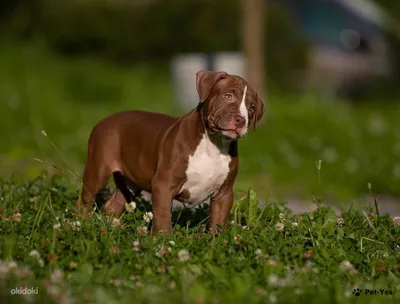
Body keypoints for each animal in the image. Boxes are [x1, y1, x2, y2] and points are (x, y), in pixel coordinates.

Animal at [75, 70, 264, 233]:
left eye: (252, 108)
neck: (214, 144)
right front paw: (162, 239)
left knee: (114, 203)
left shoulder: (224, 193)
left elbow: (218, 221)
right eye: (228, 96)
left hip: (130, 180)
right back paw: (80, 225)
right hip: (97, 169)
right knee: (84, 200)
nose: (241, 120)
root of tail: (105, 119)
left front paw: (216, 243)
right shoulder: (164, 184)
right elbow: (162, 215)